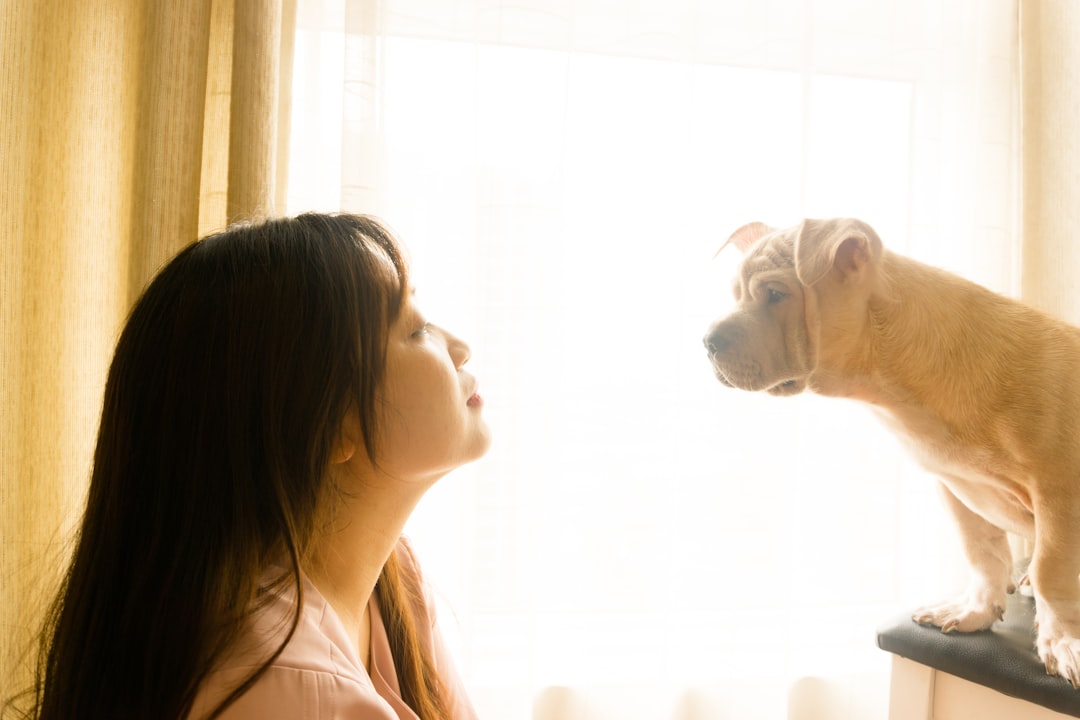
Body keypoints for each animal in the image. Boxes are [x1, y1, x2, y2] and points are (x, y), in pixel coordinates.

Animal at [699, 218, 1080, 686]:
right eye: (735, 295)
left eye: (775, 294)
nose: (707, 340)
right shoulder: (955, 486)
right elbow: (983, 553)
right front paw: (975, 611)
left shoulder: (1059, 493)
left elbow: (1051, 572)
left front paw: (1061, 641)